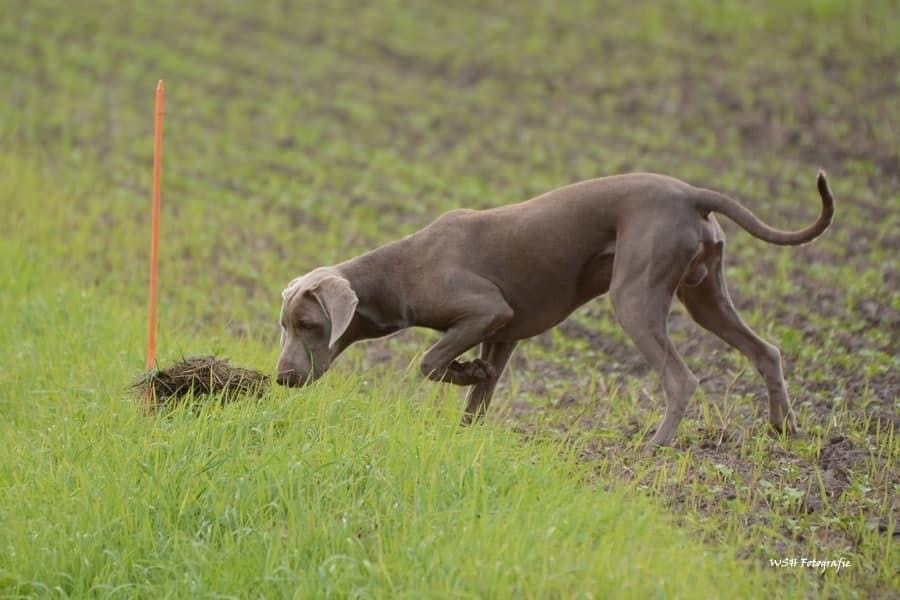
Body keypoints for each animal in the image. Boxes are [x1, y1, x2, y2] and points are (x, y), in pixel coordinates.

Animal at [278, 171, 832, 442]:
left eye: (306, 323)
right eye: (282, 326)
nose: (281, 379)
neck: (399, 271)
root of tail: (691, 193)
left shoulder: (488, 311)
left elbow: (429, 361)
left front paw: (466, 371)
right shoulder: (503, 332)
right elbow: (477, 400)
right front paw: (468, 419)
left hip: (634, 298)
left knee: (682, 378)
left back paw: (655, 445)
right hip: (704, 295)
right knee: (767, 352)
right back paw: (784, 429)